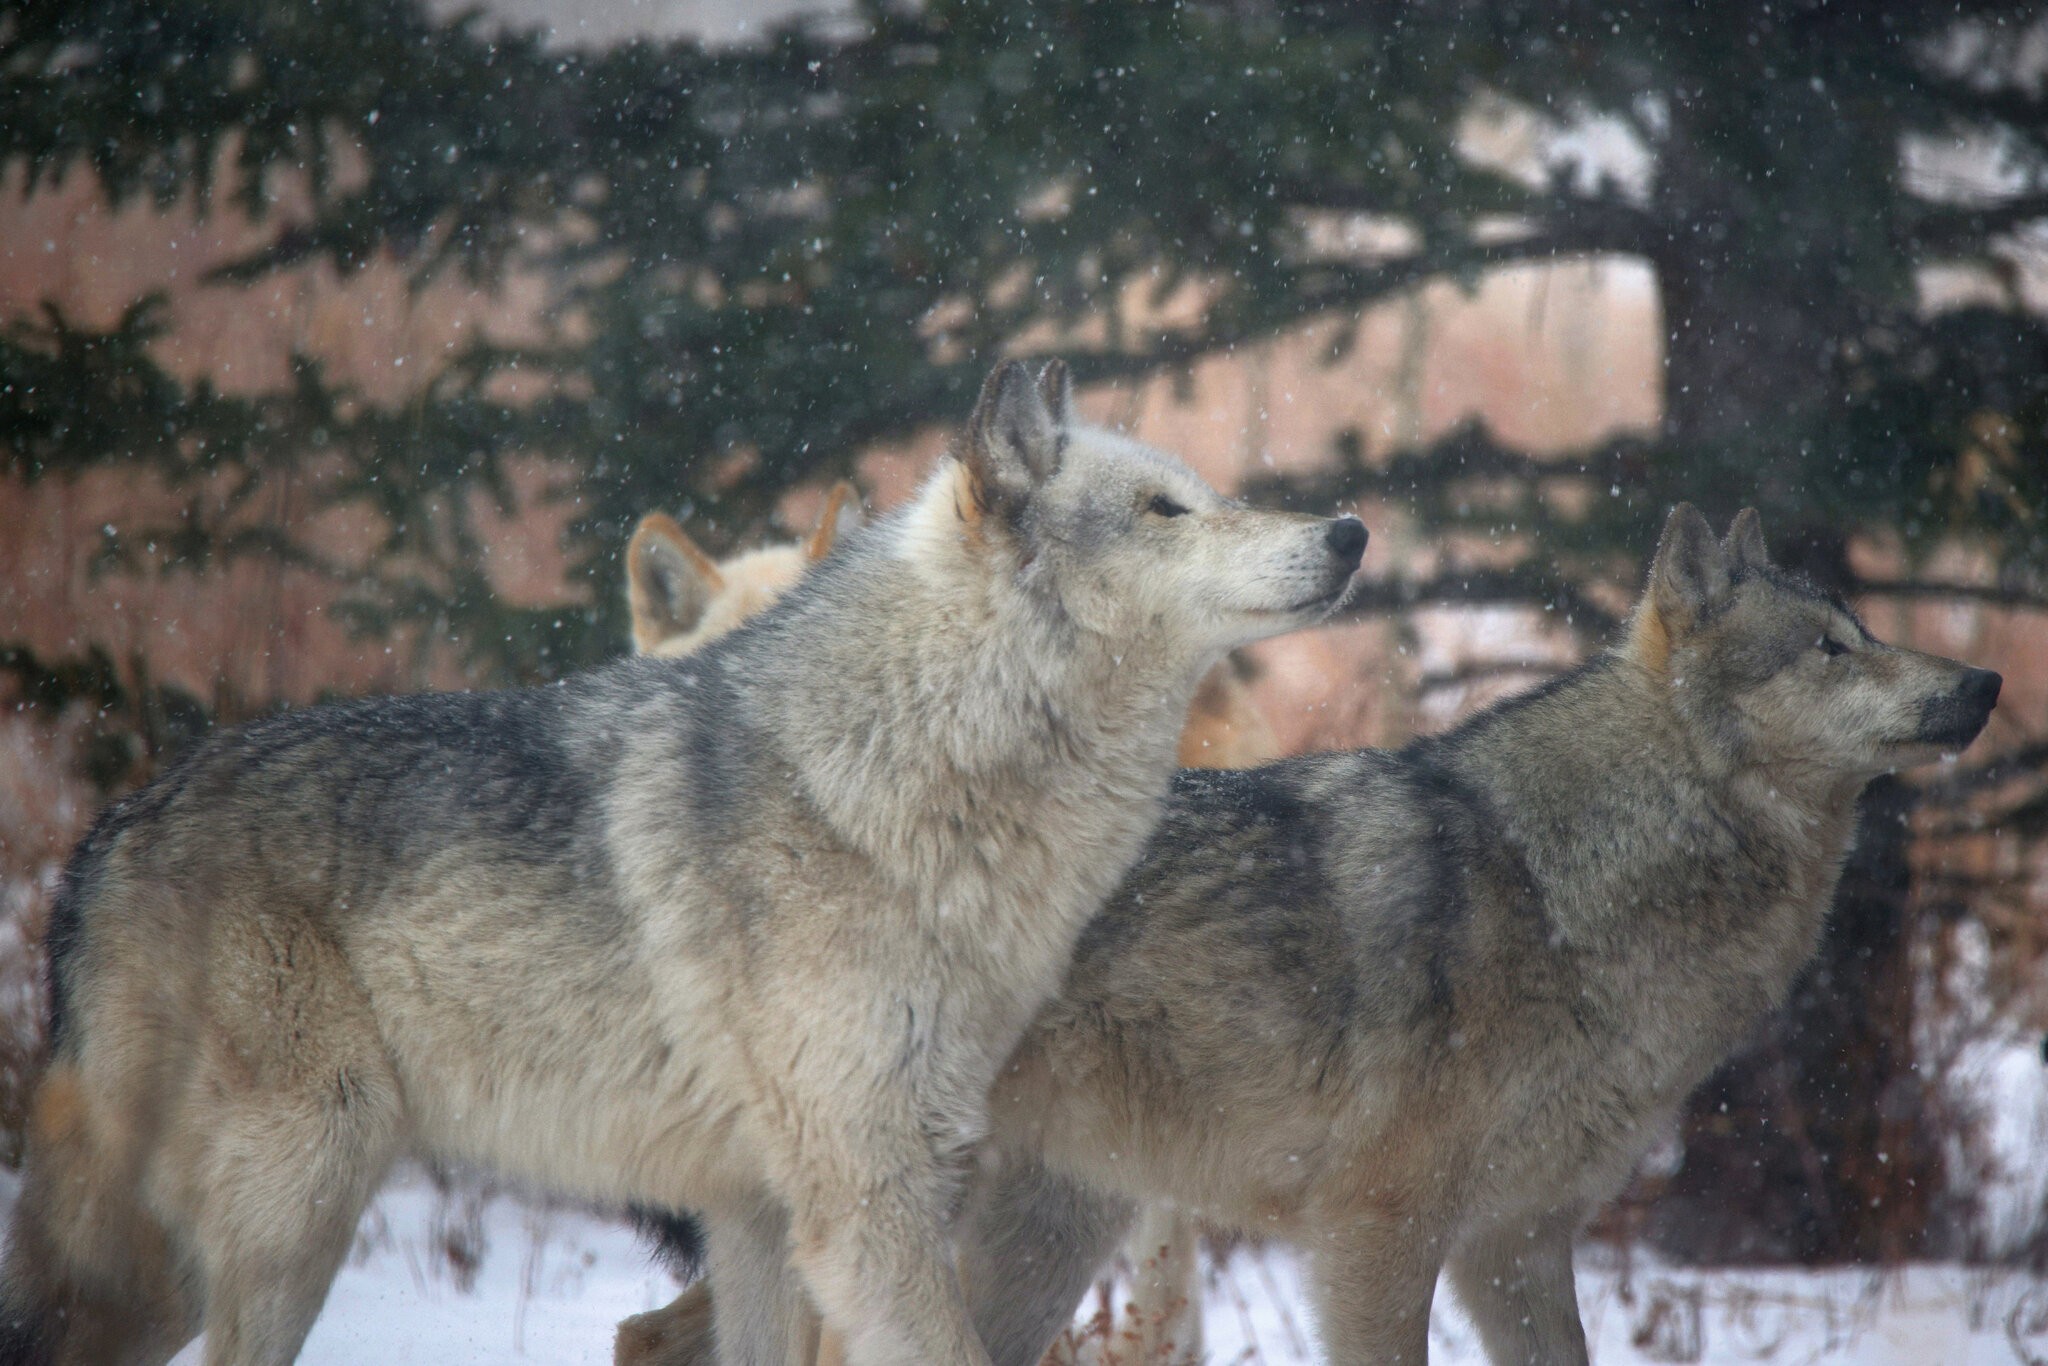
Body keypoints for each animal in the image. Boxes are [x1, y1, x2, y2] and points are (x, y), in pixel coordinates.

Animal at [4, 360, 1376, 1366]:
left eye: (1199, 494)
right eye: (1163, 512)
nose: (1353, 530)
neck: (898, 773)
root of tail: (110, 832)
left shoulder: (765, 1216)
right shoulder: (866, 1204)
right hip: (284, 1217)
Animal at [622, 505, 1998, 1366]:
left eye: (1865, 629)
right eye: (1826, 647)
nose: (1984, 683)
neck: (1572, 878)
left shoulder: (1516, 1243)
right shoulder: (1375, 1234)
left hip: (1034, 1244)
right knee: (652, 1334)